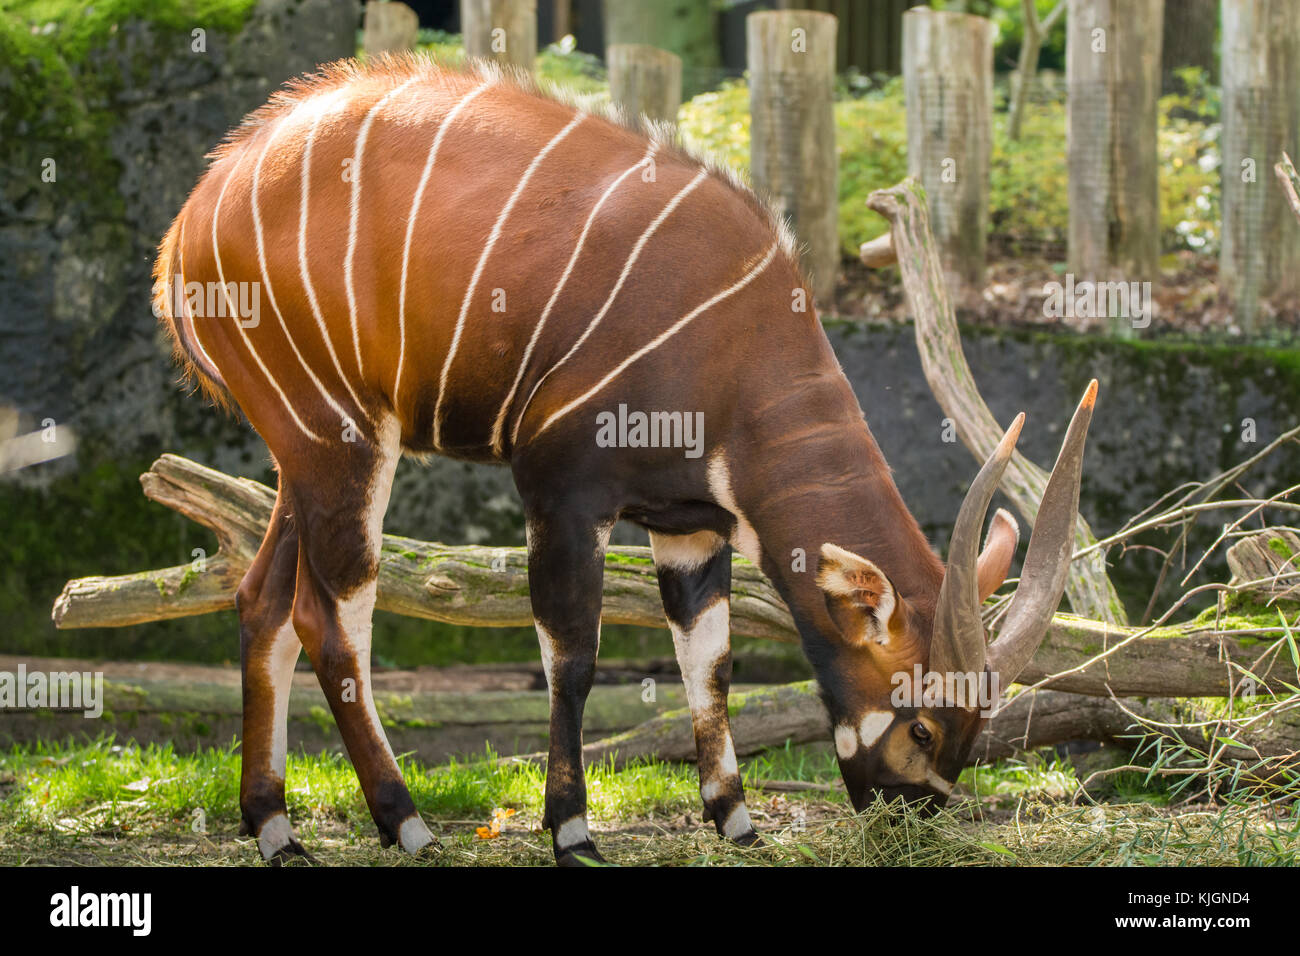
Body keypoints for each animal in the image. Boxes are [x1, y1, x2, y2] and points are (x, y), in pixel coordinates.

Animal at [154, 59, 1097, 868]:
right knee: (330, 614)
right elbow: (573, 656)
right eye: (923, 727)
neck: (737, 347)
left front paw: (736, 819)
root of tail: (194, 215)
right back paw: (407, 821)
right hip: (340, 439)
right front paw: (572, 831)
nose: (912, 818)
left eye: (971, 733)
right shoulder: (565, 491)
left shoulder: (690, 528)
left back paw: (275, 828)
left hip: (302, 454)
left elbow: (708, 663)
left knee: (262, 600)